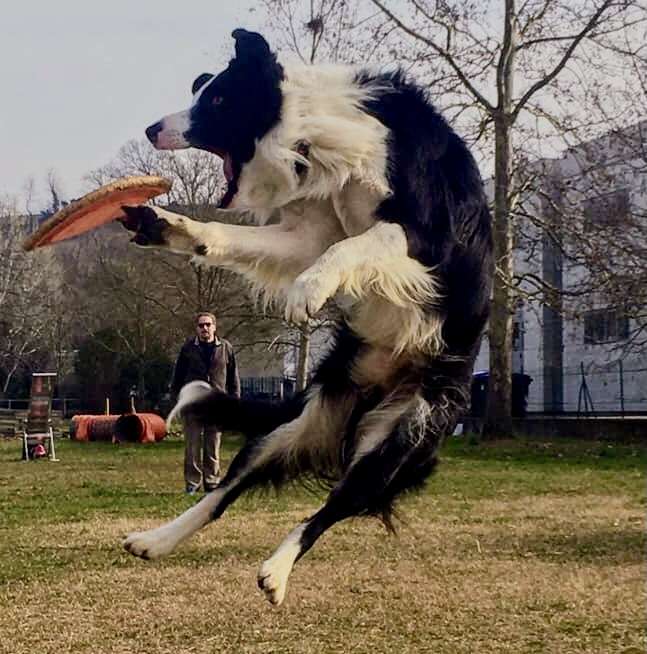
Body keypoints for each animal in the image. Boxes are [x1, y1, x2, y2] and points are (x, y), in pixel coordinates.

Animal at [121, 28, 494, 608]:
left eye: (218, 98)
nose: (151, 128)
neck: (322, 133)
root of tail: (373, 395)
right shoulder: (308, 234)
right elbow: (241, 237)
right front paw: (171, 226)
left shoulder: (428, 237)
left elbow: (356, 245)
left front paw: (310, 288)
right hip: (292, 430)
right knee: (221, 496)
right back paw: (157, 540)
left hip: (398, 440)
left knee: (325, 513)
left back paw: (276, 571)